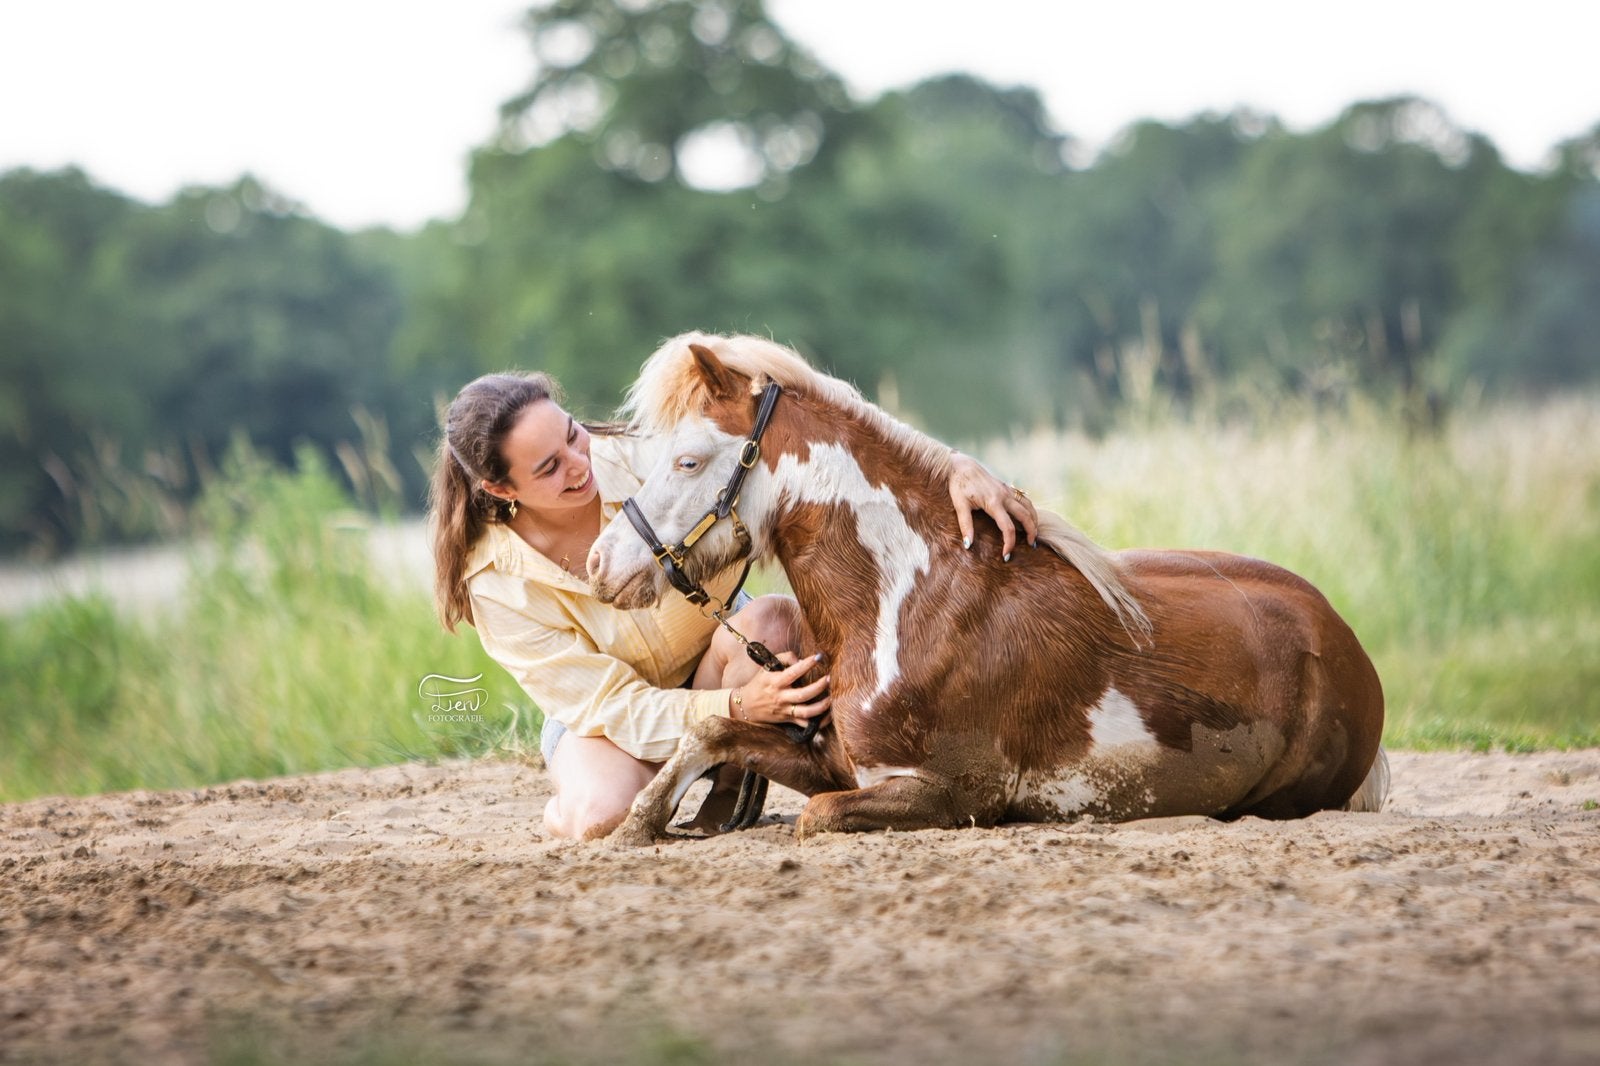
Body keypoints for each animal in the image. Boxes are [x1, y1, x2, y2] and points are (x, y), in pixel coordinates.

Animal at [587, 332, 1389, 844]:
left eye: (689, 461)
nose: (600, 565)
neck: (907, 600)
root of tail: (1341, 639)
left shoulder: (953, 794)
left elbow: (816, 818)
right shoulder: (836, 761)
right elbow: (709, 731)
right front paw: (640, 824)